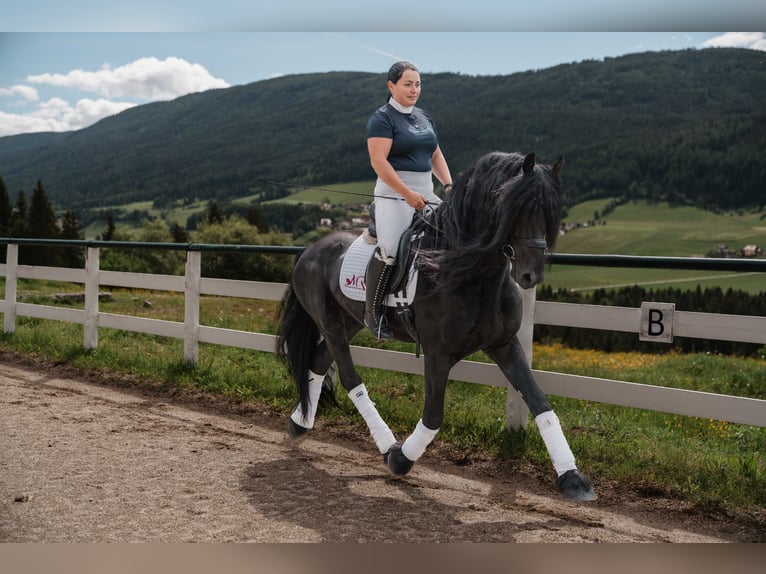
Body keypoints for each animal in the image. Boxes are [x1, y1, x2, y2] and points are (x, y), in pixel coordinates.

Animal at [280, 151, 596, 502]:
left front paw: (573, 479)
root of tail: (311, 249)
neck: (473, 275)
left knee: (318, 361)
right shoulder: (437, 353)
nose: (531, 276)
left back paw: (299, 423)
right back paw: (386, 444)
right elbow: (433, 415)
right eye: (520, 207)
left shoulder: (504, 345)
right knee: (350, 378)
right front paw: (401, 459)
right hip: (330, 323)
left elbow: (539, 401)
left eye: (552, 211)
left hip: (349, 321)